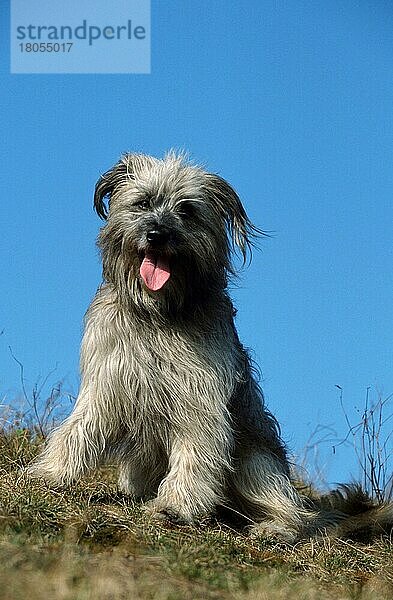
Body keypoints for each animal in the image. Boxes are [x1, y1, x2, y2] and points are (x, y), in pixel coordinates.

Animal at [28, 152, 392, 540]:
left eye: (187, 210)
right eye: (143, 203)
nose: (157, 234)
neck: (160, 313)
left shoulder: (201, 397)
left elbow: (196, 449)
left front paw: (175, 507)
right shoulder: (106, 382)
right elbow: (79, 429)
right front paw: (51, 473)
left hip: (256, 461)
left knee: (296, 513)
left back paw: (275, 528)